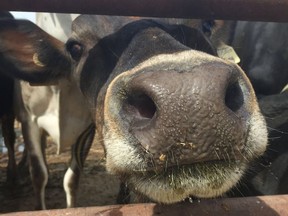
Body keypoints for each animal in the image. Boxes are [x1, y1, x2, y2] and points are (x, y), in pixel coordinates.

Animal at [0, 15, 268, 206]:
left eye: (207, 24)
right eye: (75, 48)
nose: (188, 99)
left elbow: (71, 179)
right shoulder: (29, 121)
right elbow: (40, 175)